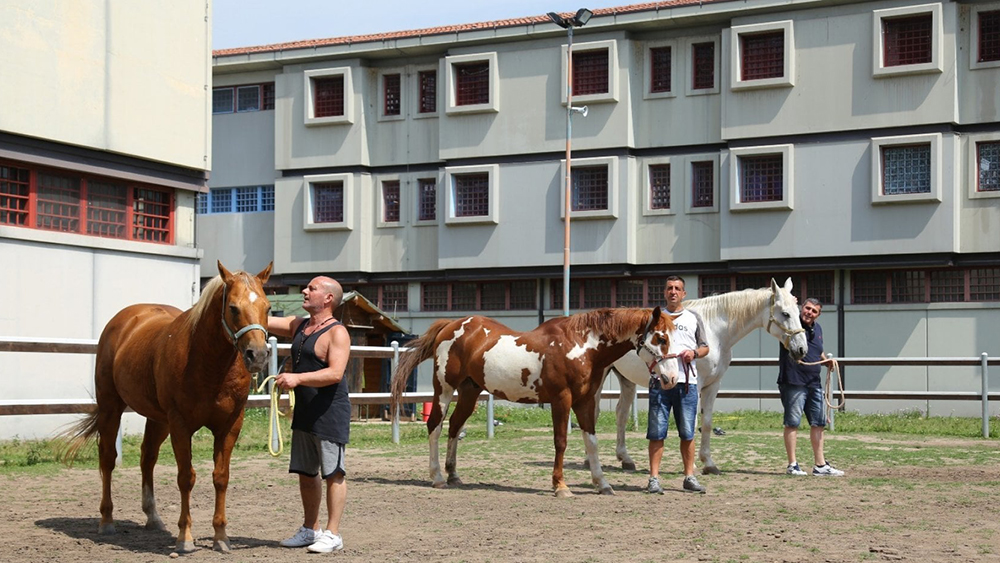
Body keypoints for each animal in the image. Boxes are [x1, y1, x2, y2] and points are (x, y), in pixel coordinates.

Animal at [59, 261, 272, 554]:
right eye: (233, 307)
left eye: (268, 307)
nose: (258, 355)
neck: (209, 364)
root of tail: (124, 320)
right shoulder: (180, 425)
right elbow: (186, 477)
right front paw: (185, 538)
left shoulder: (230, 425)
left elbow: (221, 477)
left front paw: (220, 536)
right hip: (111, 407)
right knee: (108, 459)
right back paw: (107, 521)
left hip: (158, 420)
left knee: (147, 458)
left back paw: (153, 517)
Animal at [390, 307, 679, 497]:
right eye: (660, 338)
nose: (672, 378)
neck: (581, 345)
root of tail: (450, 326)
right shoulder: (562, 399)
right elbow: (561, 442)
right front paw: (560, 486)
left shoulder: (585, 401)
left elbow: (592, 442)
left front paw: (602, 483)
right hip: (444, 389)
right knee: (435, 427)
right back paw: (437, 477)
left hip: (469, 392)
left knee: (453, 426)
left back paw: (453, 475)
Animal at [598, 278, 808, 475]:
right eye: (785, 313)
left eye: (798, 312)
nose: (801, 349)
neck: (715, 331)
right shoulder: (695, 385)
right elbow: (692, 422)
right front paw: (692, 466)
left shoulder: (713, 385)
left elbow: (706, 423)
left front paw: (709, 463)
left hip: (626, 380)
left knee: (621, 413)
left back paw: (626, 459)